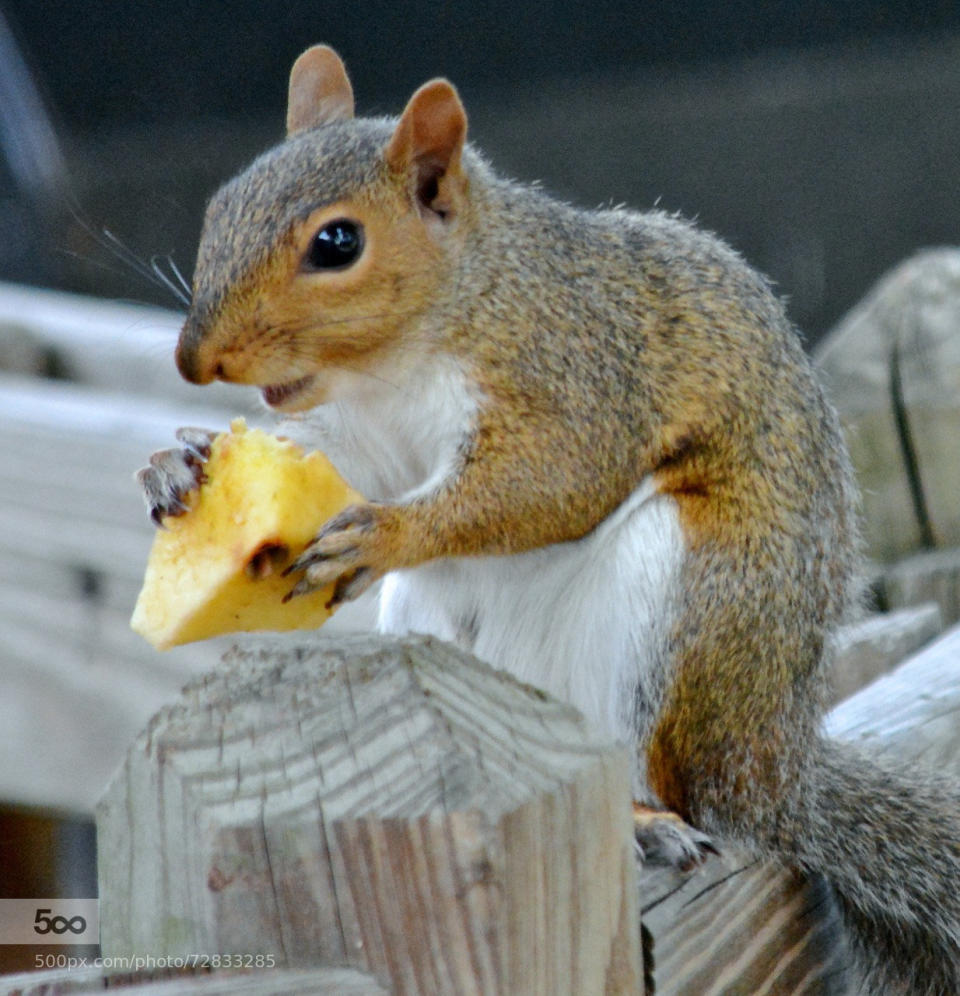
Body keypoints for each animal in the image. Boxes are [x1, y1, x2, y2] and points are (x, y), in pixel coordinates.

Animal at [141, 44, 960, 988]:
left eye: (336, 243)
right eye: (220, 206)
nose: (194, 359)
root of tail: (774, 766)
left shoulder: (574, 372)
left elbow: (557, 480)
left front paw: (389, 533)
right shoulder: (362, 436)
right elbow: (346, 469)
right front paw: (178, 466)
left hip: (678, 608)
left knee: (675, 782)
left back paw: (647, 823)